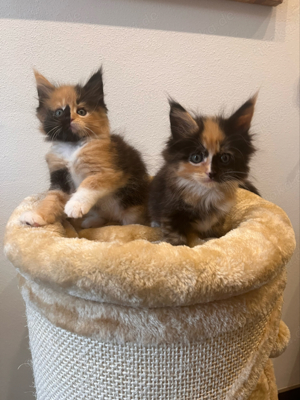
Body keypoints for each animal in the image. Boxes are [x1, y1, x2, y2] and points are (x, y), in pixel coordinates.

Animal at [21, 68, 149, 228]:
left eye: (81, 112)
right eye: (59, 112)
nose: (69, 118)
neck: (71, 146)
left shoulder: (108, 171)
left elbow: (89, 184)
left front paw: (74, 205)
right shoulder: (59, 176)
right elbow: (52, 198)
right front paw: (38, 216)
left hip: (132, 204)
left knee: (132, 221)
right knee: (104, 217)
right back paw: (90, 222)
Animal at [149, 97, 258, 247]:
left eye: (225, 158)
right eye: (196, 158)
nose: (211, 173)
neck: (207, 194)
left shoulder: (218, 217)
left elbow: (215, 233)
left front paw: (215, 238)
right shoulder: (170, 212)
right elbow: (176, 239)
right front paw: (178, 247)